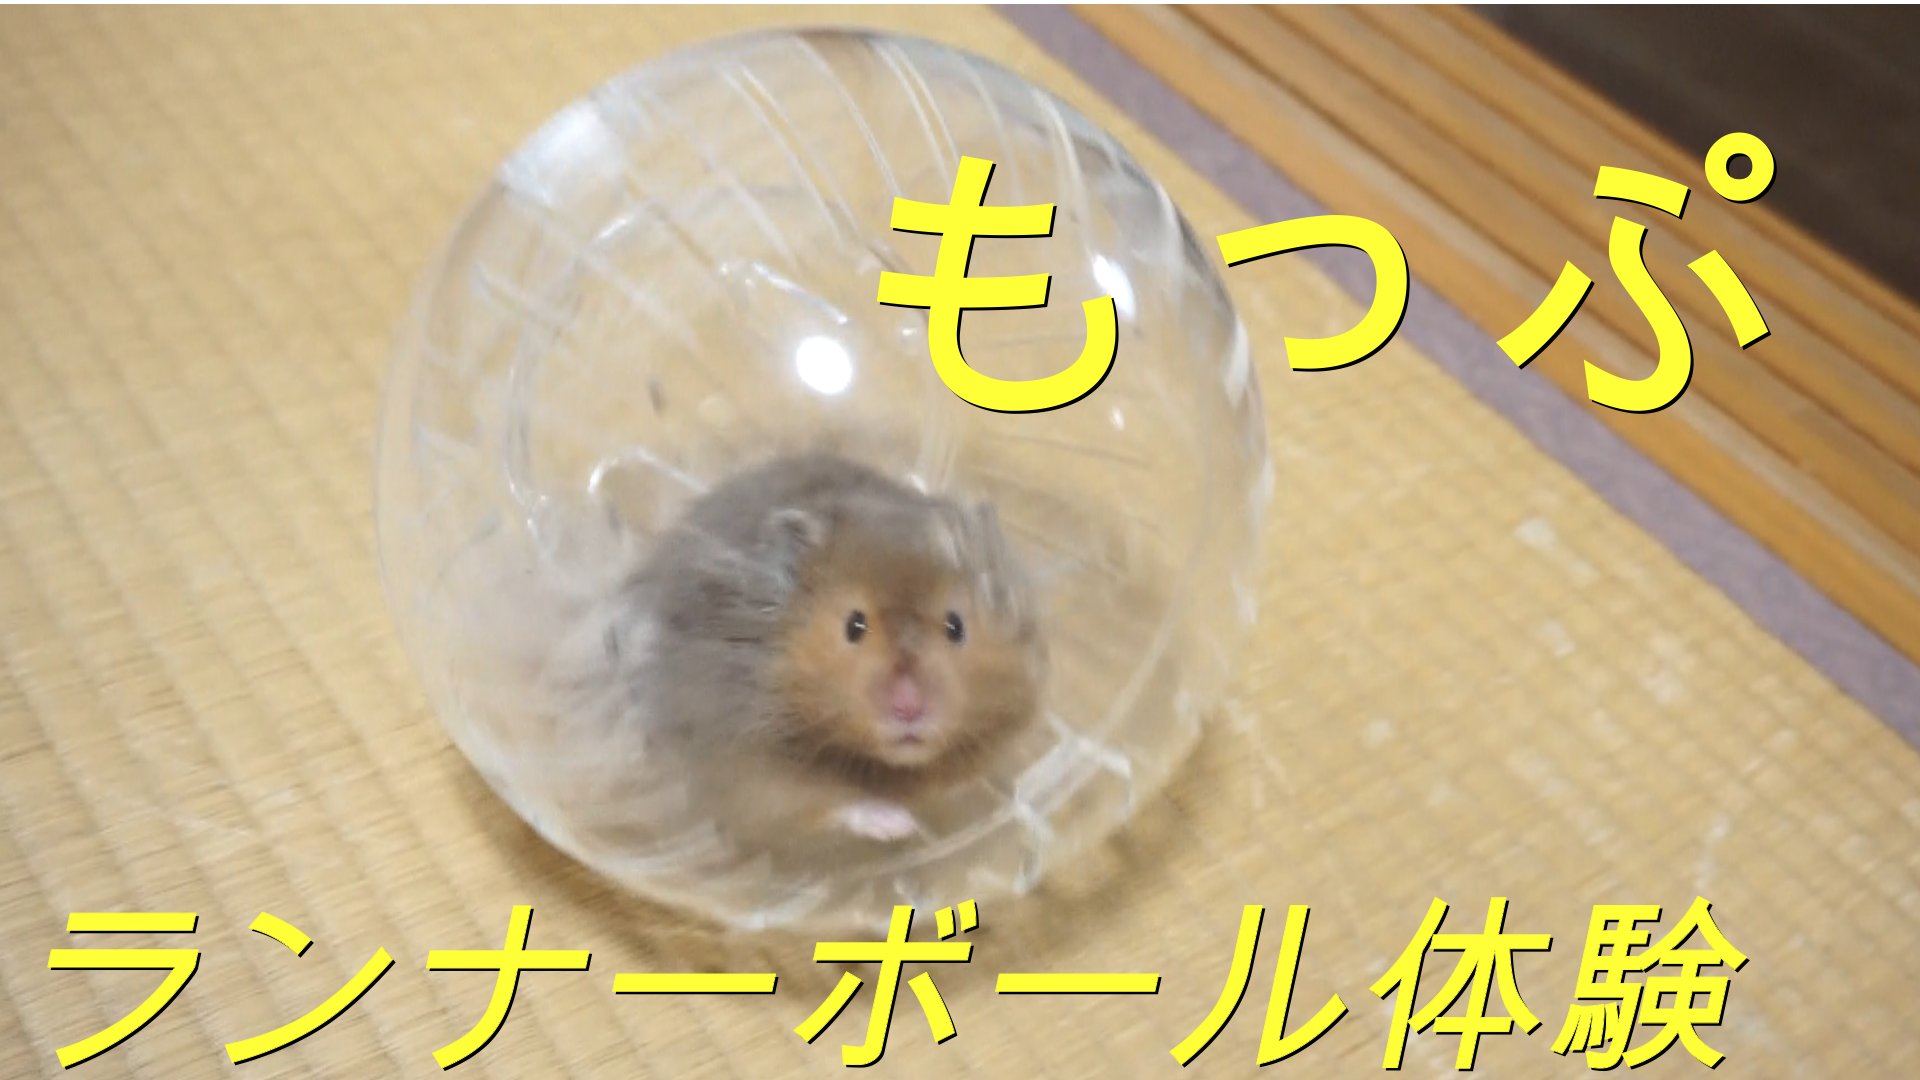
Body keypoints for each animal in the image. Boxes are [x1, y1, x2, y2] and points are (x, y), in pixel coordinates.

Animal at [614, 451, 1048, 848]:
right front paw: (898, 825)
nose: (909, 708)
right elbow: (827, 804)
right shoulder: (744, 768)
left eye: (956, 626)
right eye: (854, 626)